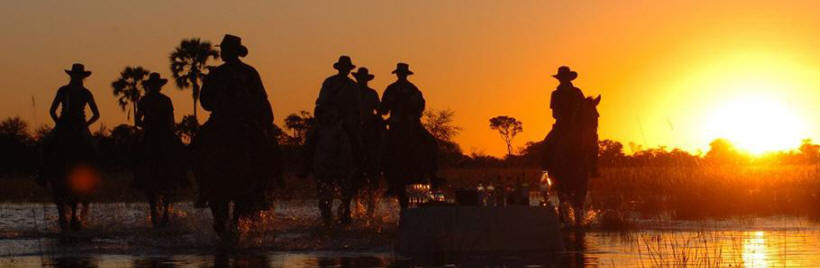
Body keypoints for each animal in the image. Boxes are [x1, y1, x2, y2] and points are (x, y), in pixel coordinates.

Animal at [544, 95, 604, 225]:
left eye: (597, 115)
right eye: (581, 115)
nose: (591, 141)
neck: (575, 152)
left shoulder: (582, 182)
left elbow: (579, 202)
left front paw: (579, 221)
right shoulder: (563, 181)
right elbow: (568, 201)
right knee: (562, 200)